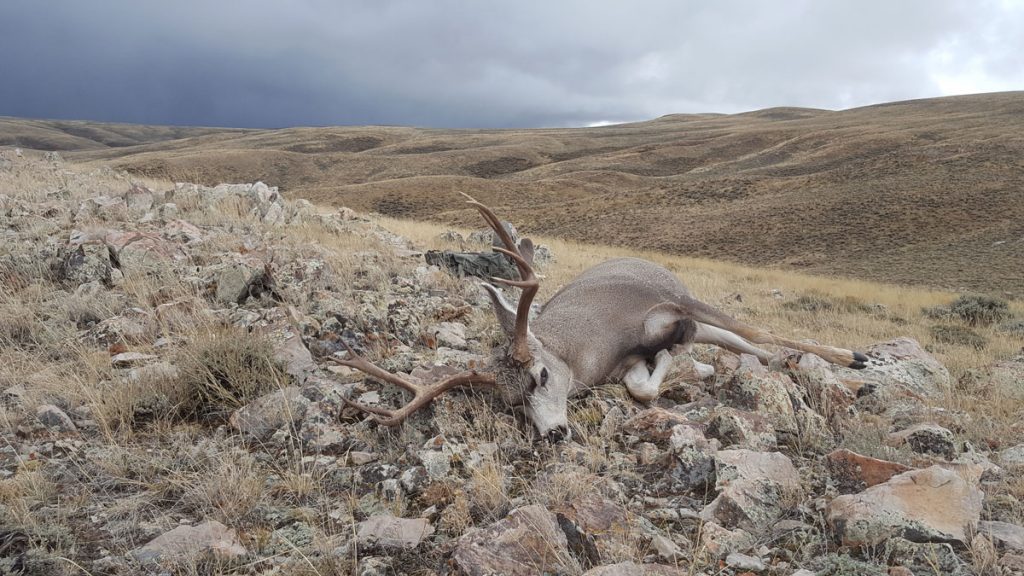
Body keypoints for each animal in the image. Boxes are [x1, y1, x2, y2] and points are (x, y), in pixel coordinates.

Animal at [334, 194, 868, 442]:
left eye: (542, 374)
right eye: (510, 403)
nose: (554, 434)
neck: (593, 345)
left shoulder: (672, 302)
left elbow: (744, 327)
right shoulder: (622, 367)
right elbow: (643, 387)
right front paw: (671, 364)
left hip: (689, 295)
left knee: (749, 332)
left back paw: (852, 360)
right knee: (736, 343)